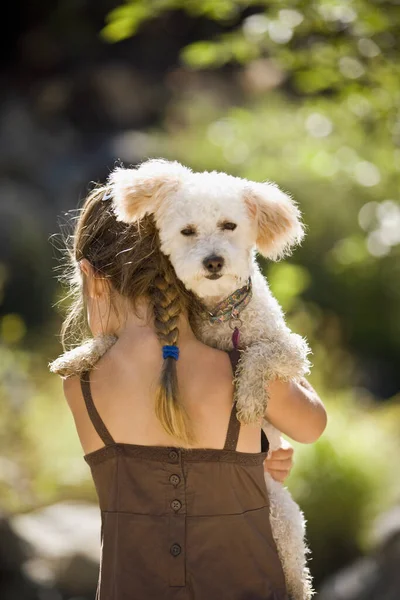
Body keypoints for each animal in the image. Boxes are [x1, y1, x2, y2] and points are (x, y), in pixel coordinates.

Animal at [109, 159, 316, 600]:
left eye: (229, 225)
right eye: (187, 231)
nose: (214, 262)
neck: (226, 314)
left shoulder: (293, 351)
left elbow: (259, 354)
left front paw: (250, 399)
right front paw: (77, 355)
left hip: (286, 522)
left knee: (298, 575)